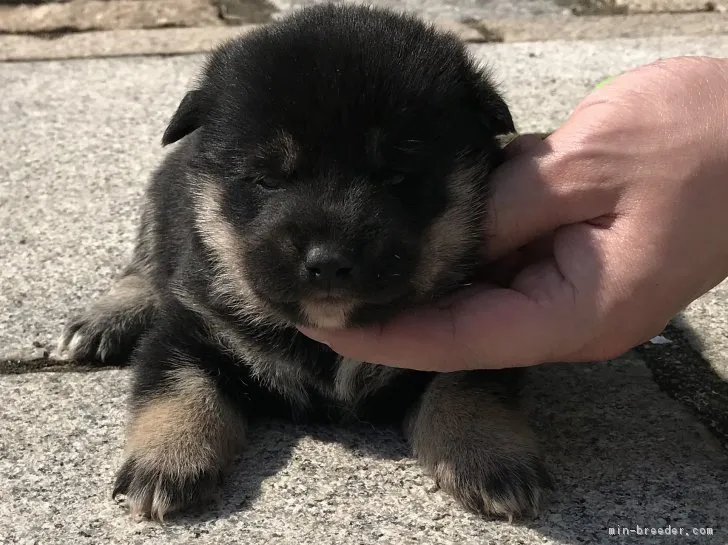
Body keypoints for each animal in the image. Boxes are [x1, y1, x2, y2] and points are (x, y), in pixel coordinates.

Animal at [58, 4, 552, 524]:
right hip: (160, 204)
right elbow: (176, 385)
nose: (328, 262)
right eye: (267, 179)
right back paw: (105, 320)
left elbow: (467, 385)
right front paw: (166, 460)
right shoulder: (191, 320)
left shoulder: (482, 334)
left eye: (397, 176)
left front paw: (489, 456)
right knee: (143, 269)